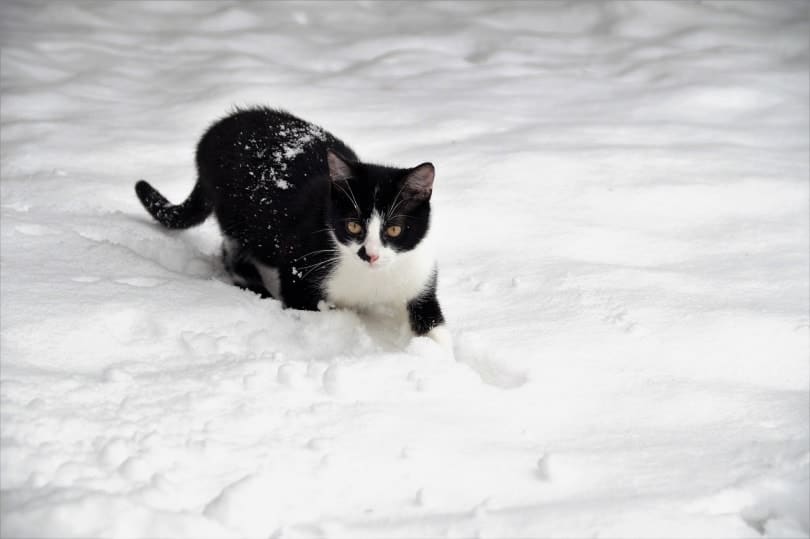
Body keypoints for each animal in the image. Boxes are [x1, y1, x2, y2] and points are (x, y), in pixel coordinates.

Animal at [133, 107, 448, 350]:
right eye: (353, 225)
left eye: (394, 230)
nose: (369, 255)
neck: (372, 279)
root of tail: (213, 132)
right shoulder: (300, 268)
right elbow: (305, 305)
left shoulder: (418, 275)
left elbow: (433, 324)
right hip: (238, 215)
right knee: (233, 252)